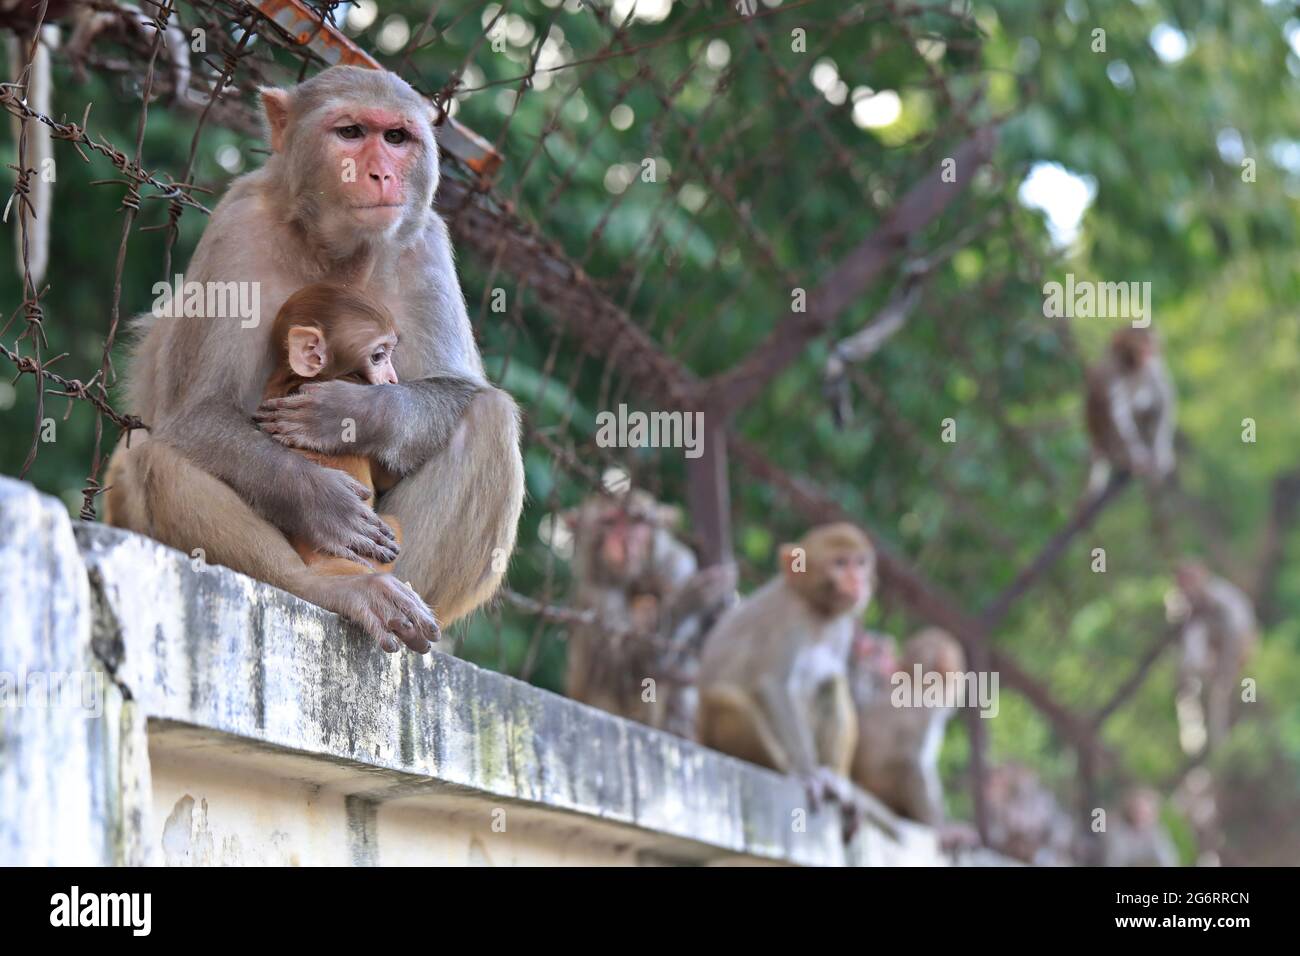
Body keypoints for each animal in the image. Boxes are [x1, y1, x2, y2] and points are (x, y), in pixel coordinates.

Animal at [563, 490, 736, 739]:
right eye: (609, 522)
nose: (626, 541)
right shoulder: (596, 593)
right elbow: (617, 672)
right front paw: (689, 601)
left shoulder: (678, 565)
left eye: (637, 521)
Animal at [696, 523, 874, 809]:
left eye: (860, 562)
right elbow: (773, 685)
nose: (858, 580)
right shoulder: (787, 620)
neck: (817, 611)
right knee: (724, 701)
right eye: (839, 563)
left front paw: (833, 779)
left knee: (831, 682)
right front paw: (807, 774)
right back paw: (785, 770)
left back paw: (831, 778)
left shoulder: (842, 627)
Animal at [1083, 327, 1176, 496]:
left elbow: (1163, 403)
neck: (1132, 367)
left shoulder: (1154, 368)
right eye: (1139, 345)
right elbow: (1118, 414)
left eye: (1150, 343)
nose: (1148, 352)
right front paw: (1139, 459)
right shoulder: (1111, 372)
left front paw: (1161, 457)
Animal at [1172, 561, 1257, 751]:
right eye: (1182, 578)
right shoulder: (1193, 603)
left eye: (1191, 577)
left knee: (1218, 625)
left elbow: (1232, 621)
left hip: (1243, 648)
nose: (1185, 585)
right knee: (1199, 623)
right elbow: (1191, 620)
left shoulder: (1216, 597)